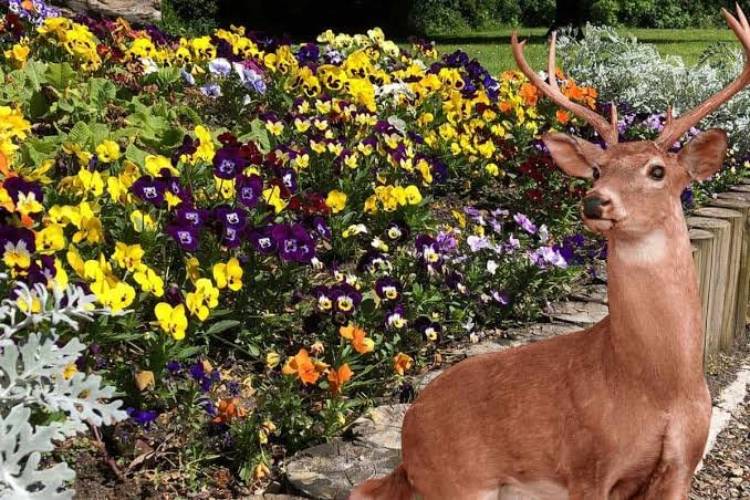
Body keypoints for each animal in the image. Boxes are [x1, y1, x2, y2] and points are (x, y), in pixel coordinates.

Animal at [350, 5, 750, 500]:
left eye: (658, 171)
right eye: (597, 170)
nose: (595, 202)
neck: (658, 388)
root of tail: (406, 441)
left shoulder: (682, 465)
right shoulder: (587, 465)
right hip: (458, 478)